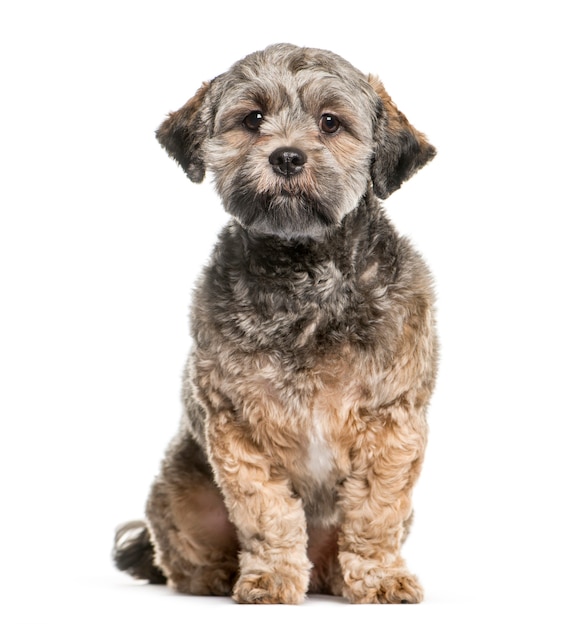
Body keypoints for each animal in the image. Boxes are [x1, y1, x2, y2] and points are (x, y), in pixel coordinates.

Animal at [114, 41, 440, 604]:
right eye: (253, 118)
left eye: (330, 122)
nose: (287, 156)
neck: (305, 277)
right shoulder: (238, 426)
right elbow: (267, 512)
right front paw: (268, 576)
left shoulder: (392, 423)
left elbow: (375, 512)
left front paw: (379, 577)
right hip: (179, 488)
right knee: (183, 555)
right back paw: (218, 575)